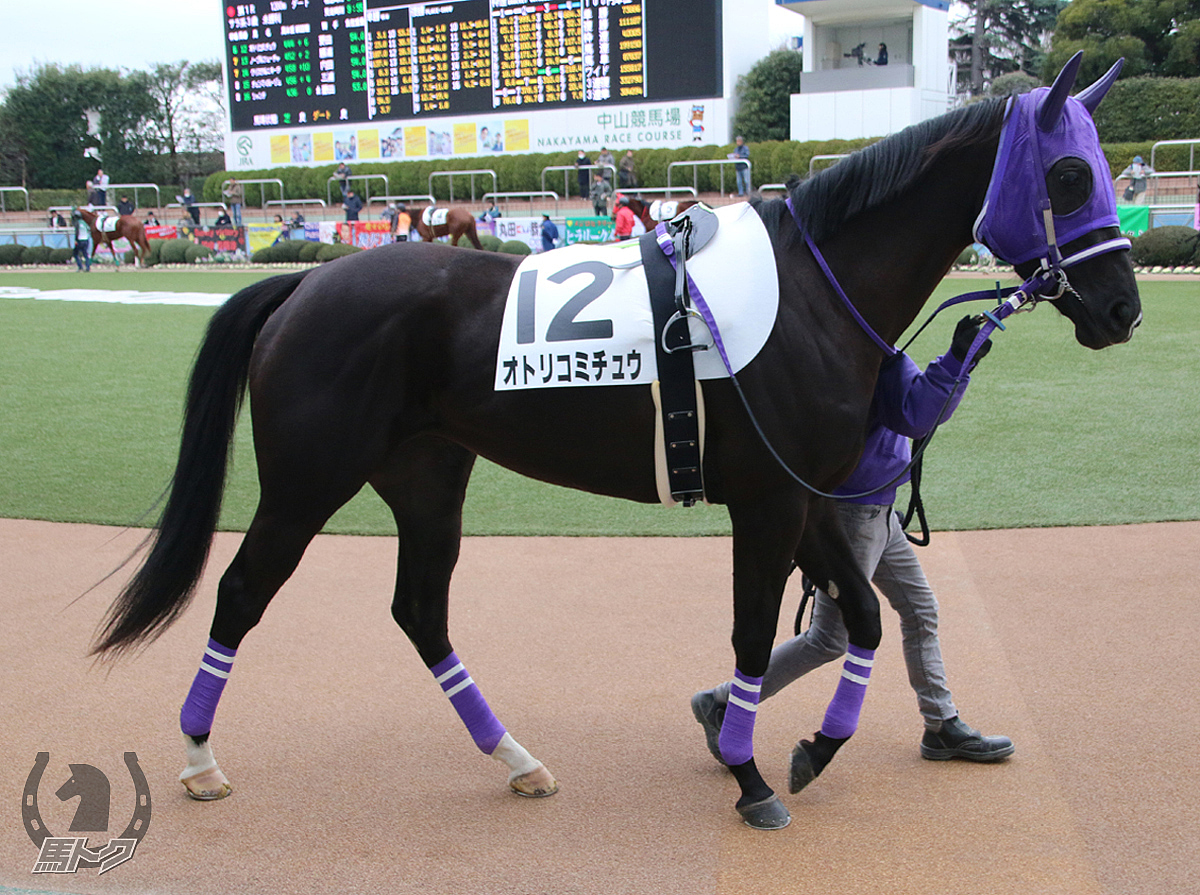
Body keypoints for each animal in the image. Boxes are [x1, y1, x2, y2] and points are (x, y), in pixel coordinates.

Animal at [93, 53, 1142, 820]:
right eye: (1067, 173)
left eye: (1094, 170)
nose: (1122, 309)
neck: (814, 288)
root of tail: (305, 281)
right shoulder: (768, 500)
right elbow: (753, 633)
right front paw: (749, 774)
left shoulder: (804, 494)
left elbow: (868, 619)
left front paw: (811, 747)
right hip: (308, 481)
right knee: (241, 592)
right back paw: (198, 756)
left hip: (427, 477)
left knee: (420, 611)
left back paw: (515, 756)